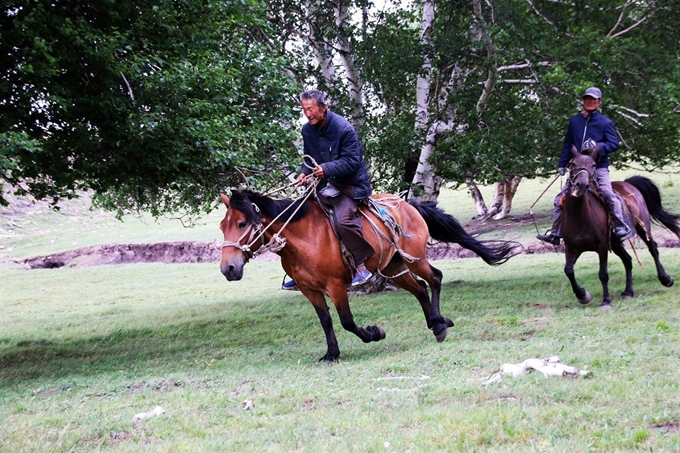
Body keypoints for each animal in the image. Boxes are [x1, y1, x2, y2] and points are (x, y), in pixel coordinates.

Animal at [220, 187, 512, 360]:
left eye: (242, 223)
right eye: (223, 226)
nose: (228, 269)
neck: (304, 237)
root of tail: (407, 205)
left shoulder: (336, 285)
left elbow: (347, 321)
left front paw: (374, 333)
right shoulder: (309, 289)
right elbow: (326, 321)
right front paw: (332, 353)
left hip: (415, 259)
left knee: (435, 278)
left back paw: (439, 324)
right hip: (393, 266)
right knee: (419, 288)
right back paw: (435, 322)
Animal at [560, 147, 676, 308]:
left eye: (594, 165)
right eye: (572, 164)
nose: (581, 185)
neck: (579, 216)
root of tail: (628, 184)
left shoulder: (602, 246)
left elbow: (603, 274)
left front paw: (606, 301)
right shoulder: (571, 247)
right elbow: (569, 270)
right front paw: (582, 295)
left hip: (643, 228)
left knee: (653, 249)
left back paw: (666, 279)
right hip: (615, 243)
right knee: (628, 260)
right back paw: (628, 292)